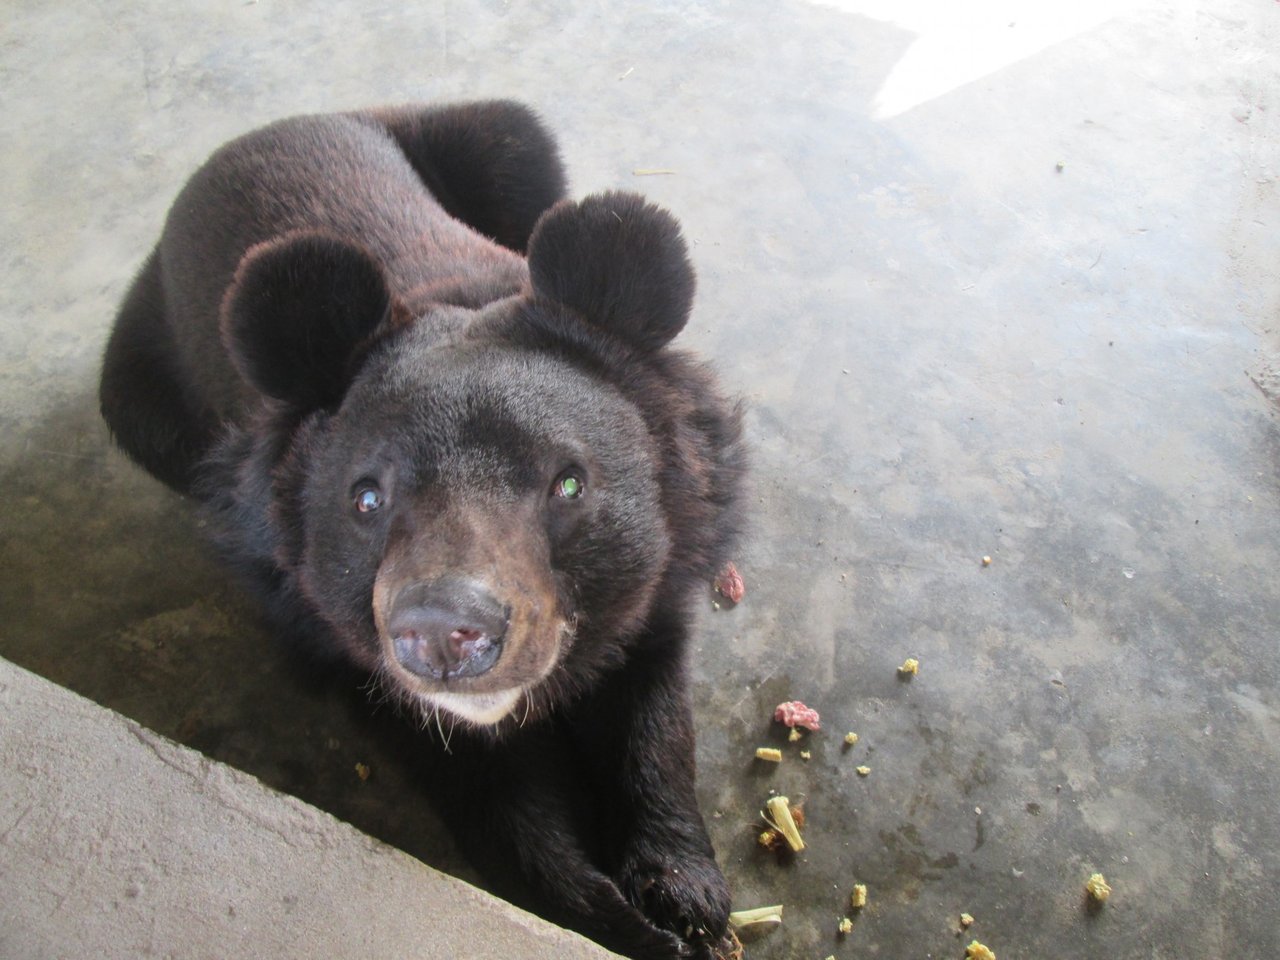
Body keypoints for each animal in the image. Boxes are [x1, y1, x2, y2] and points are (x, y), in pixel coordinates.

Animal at [102, 99, 747, 960]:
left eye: (568, 483)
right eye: (366, 499)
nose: (445, 633)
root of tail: (274, 127)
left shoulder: (677, 540)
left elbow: (653, 716)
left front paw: (685, 900)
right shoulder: (326, 629)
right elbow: (485, 794)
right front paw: (615, 918)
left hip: (504, 141)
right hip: (146, 397)